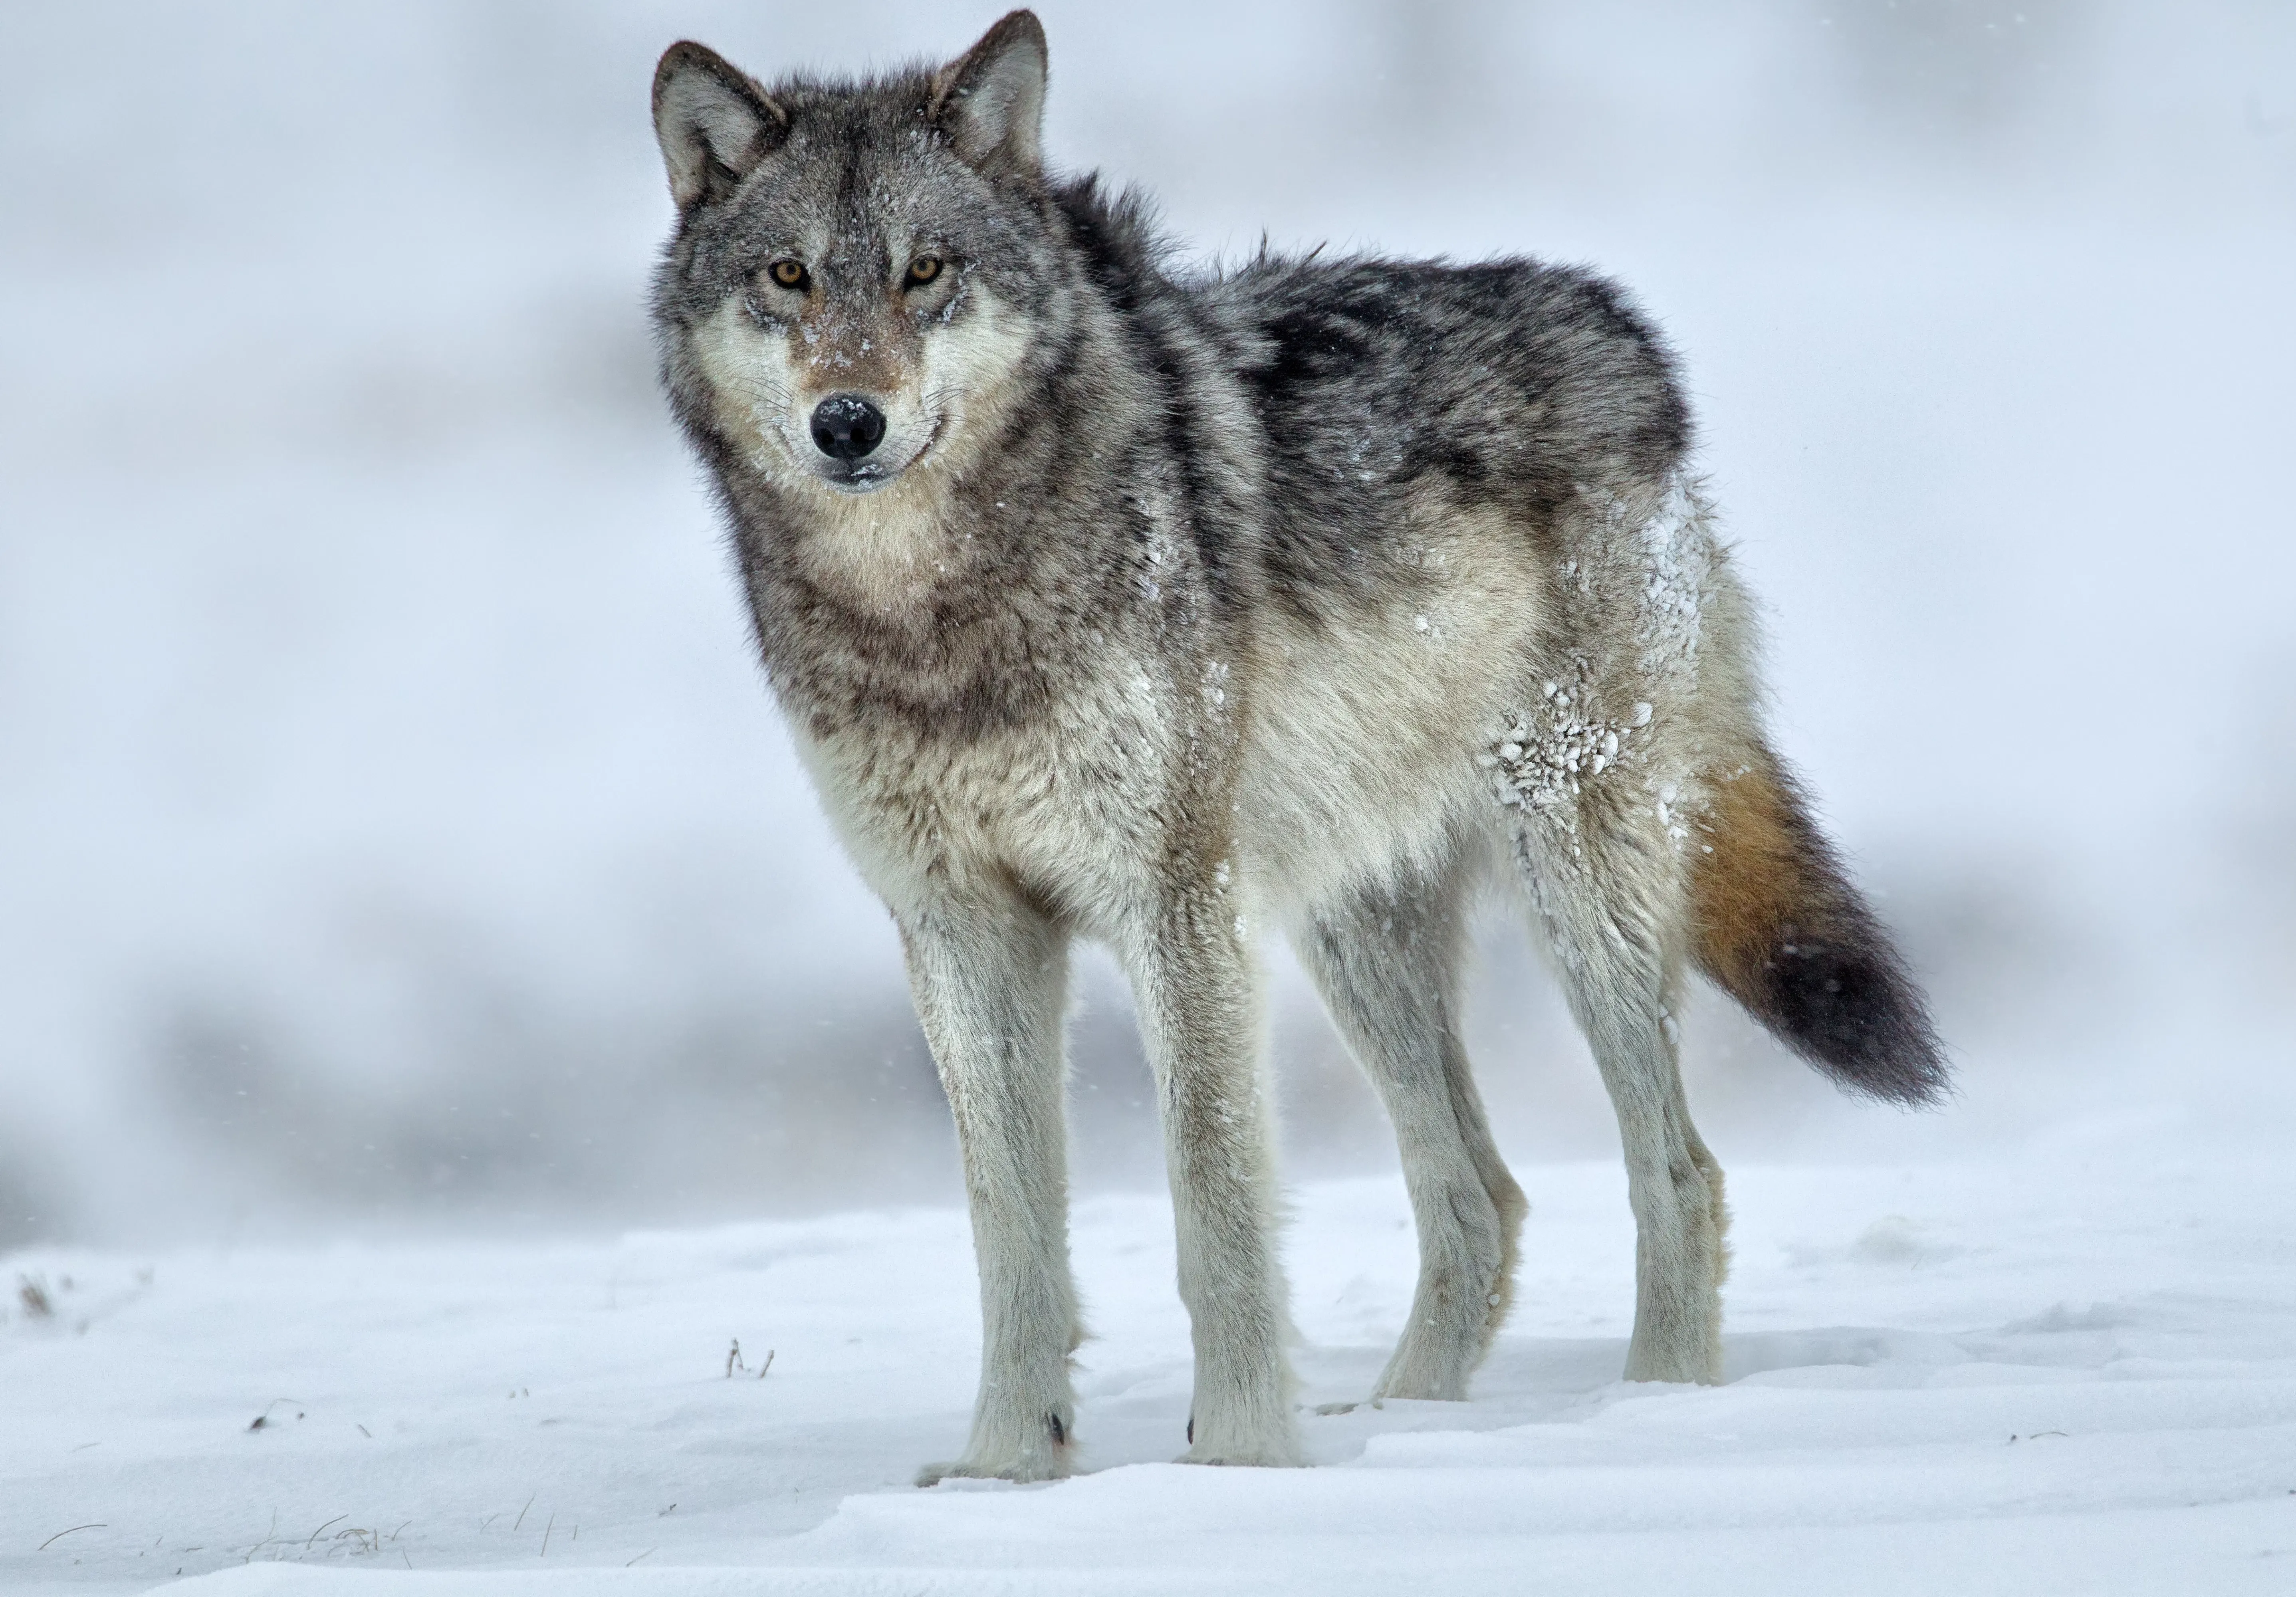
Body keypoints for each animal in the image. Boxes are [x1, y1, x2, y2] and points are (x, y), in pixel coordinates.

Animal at [647, 11, 1947, 1483]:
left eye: (926, 272)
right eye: (789, 276)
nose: (848, 423)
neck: (932, 620)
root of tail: (1616, 330)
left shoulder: (1175, 907)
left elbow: (1213, 1210)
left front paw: (1238, 1465)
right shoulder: (961, 928)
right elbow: (1010, 1240)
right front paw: (1006, 1472)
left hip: (1575, 891)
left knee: (1675, 1170)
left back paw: (1654, 1411)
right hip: (1350, 929)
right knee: (1479, 1195)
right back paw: (1408, 1425)